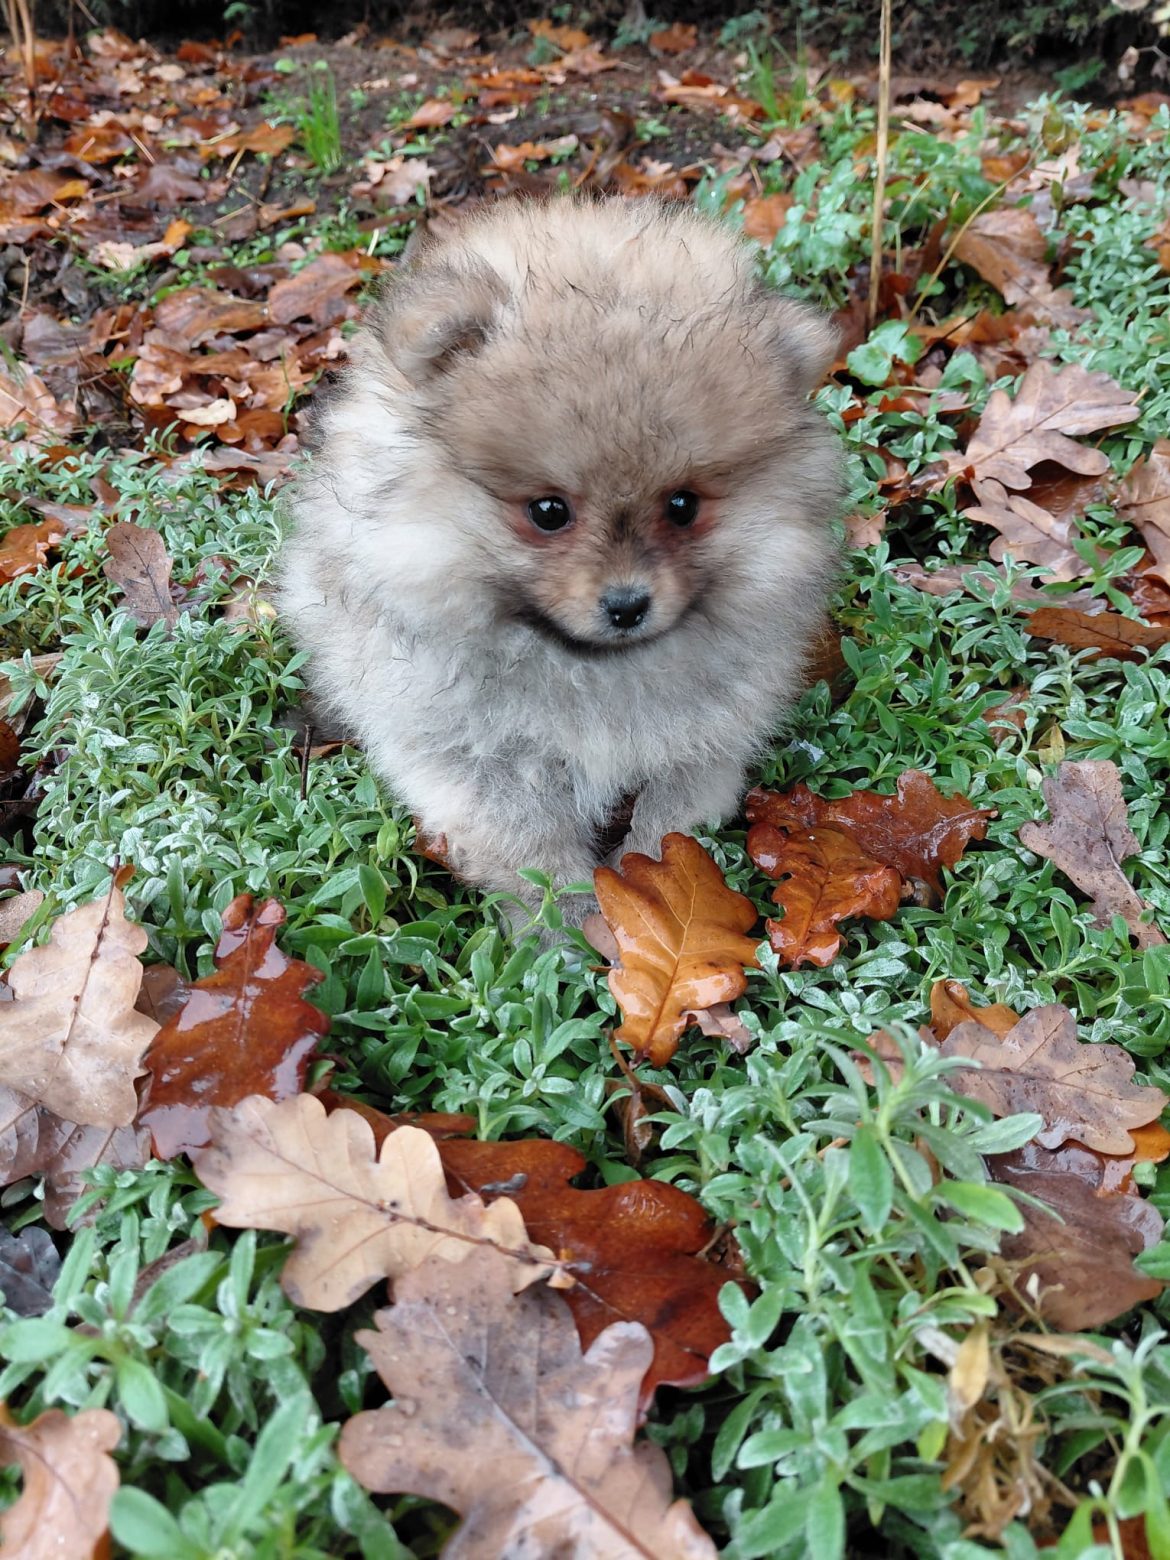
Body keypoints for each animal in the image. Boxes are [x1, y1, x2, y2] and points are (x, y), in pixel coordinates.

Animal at [279, 196, 842, 928]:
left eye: (683, 505)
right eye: (549, 511)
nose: (627, 604)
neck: (588, 676)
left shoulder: (706, 742)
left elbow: (668, 826)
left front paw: (649, 900)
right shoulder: (476, 762)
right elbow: (530, 857)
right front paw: (570, 931)